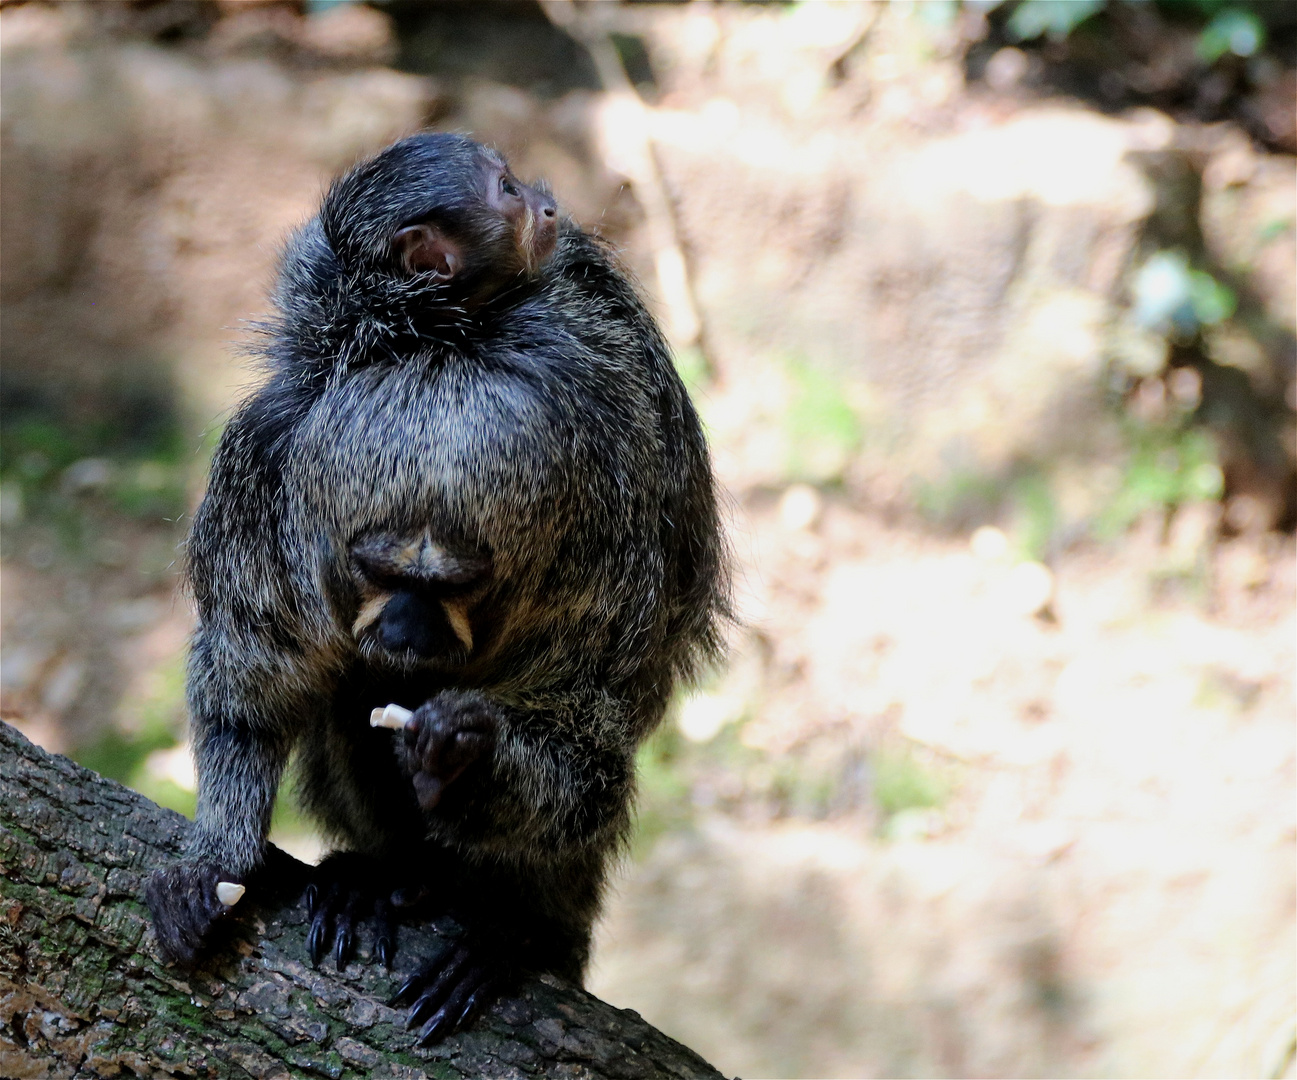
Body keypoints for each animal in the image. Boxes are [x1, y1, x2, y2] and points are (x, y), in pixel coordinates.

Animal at [147, 128, 731, 1047]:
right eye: (381, 574)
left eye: (458, 582)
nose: (409, 630)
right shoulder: (264, 473)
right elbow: (250, 684)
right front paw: (219, 858)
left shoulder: (606, 535)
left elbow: (587, 752)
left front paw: (466, 755)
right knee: (347, 692)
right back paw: (386, 873)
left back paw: (514, 931)